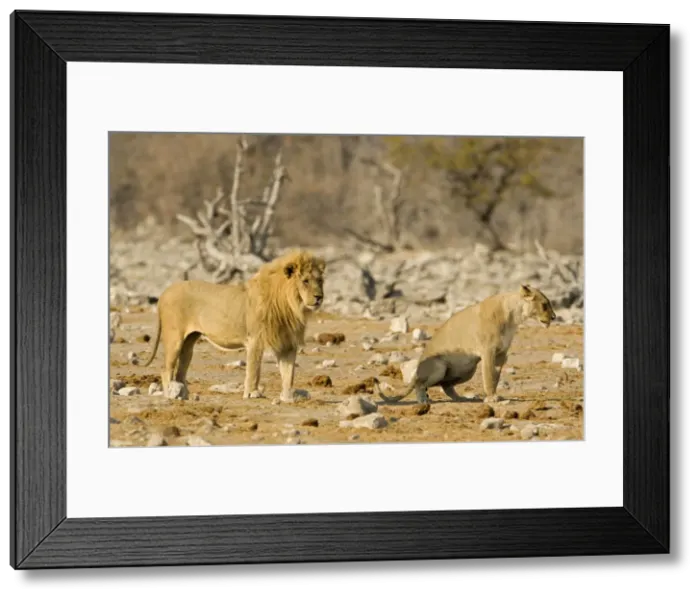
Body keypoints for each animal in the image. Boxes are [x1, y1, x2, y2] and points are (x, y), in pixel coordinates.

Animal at [142, 249, 326, 404]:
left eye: (320, 281)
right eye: (305, 281)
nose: (319, 297)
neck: (291, 305)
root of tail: (164, 292)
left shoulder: (287, 344)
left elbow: (289, 373)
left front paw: (288, 396)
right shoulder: (255, 340)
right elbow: (253, 370)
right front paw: (252, 393)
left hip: (189, 342)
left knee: (180, 371)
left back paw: (183, 395)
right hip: (175, 338)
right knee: (166, 369)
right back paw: (170, 395)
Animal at [374, 284, 557, 405]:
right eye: (544, 304)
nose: (554, 317)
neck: (514, 317)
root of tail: (418, 369)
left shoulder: (501, 354)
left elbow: (495, 376)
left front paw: (494, 395)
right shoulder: (488, 351)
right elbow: (488, 376)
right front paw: (492, 398)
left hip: (468, 370)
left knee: (446, 385)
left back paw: (461, 398)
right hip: (439, 365)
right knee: (421, 383)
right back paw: (423, 400)